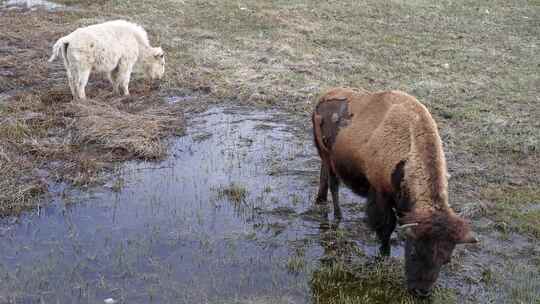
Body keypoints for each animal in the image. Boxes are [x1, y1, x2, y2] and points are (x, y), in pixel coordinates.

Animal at [312, 87, 476, 296]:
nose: (421, 292)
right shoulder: (380, 195)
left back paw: (320, 200)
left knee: (324, 177)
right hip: (328, 157)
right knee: (333, 185)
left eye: (445, 260)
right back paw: (338, 215)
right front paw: (384, 253)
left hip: (326, 160)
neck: (409, 147)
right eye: (413, 251)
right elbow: (385, 226)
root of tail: (324, 96)